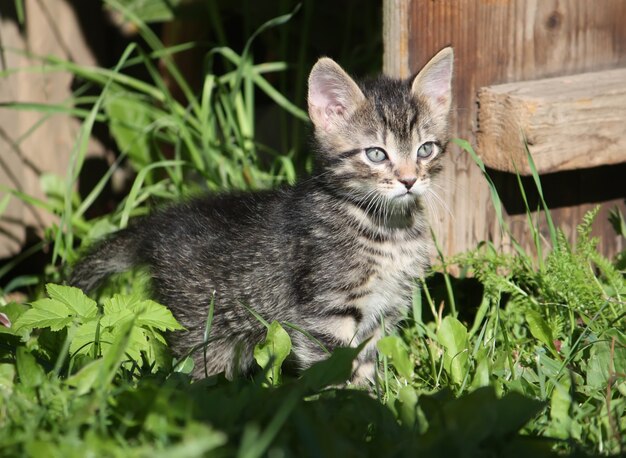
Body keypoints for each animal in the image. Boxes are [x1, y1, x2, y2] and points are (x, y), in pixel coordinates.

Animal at [69, 46, 454, 382]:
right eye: (376, 154)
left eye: (425, 150)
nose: (409, 180)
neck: (388, 226)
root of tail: (160, 223)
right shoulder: (323, 312)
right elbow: (334, 370)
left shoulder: (381, 315)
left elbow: (364, 367)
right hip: (202, 333)